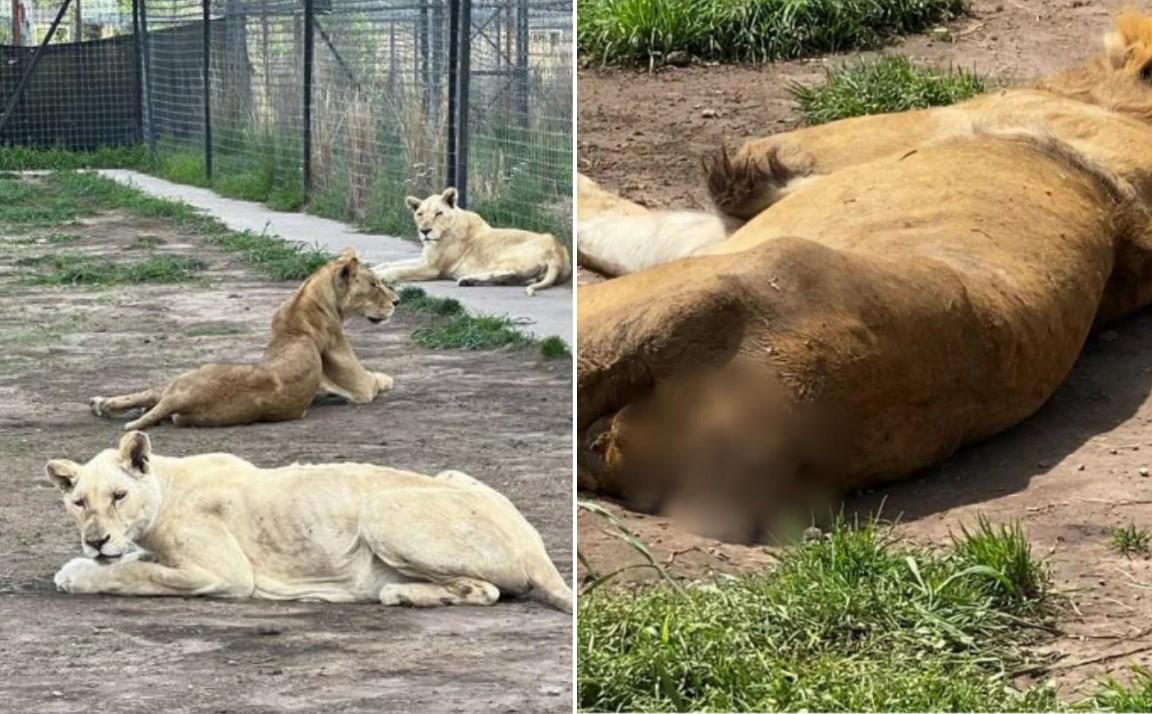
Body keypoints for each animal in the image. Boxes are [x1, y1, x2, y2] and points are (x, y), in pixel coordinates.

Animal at [49, 433, 571, 612]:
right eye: (78, 502)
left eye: (118, 496)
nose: (95, 541)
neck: (166, 486)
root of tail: (538, 551)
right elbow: (136, 559)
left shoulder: (225, 574)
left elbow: (139, 573)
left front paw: (78, 572)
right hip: (451, 475)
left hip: (381, 511)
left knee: (487, 590)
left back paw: (397, 593)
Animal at [89, 249, 398, 428]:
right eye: (374, 284)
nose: (397, 301)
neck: (304, 303)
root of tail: (180, 399)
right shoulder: (360, 386)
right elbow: (378, 378)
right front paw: (387, 378)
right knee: (153, 393)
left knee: (151, 396)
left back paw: (103, 404)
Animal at [373, 186, 571, 294]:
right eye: (420, 214)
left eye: (438, 213)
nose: (425, 231)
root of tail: (558, 251)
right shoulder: (426, 258)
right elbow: (392, 263)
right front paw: (374, 269)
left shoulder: (432, 268)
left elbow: (401, 269)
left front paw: (382, 276)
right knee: (518, 278)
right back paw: (469, 281)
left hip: (505, 256)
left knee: (510, 272)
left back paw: (466, 279)